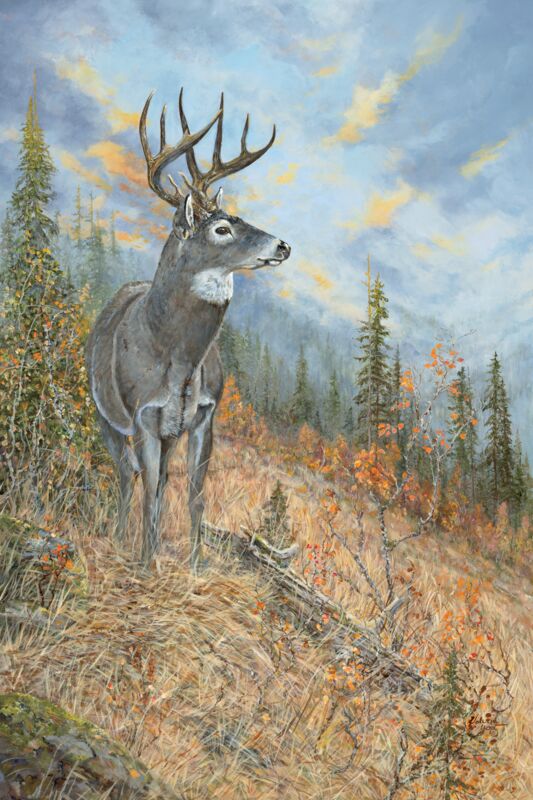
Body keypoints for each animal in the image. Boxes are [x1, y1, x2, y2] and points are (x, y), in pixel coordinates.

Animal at [85, 88, 291, 571]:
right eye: (221, 228)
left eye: (242, 217)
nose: (283, 245)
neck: (177, 358)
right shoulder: (142, 415)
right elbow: (148, 493)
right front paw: (146, 564)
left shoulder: (202, 417)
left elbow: (195, 494)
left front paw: (197, 563)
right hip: (105, 415)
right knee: (127, 474)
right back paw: (121, 538)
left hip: (170, 434)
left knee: (157, 479)